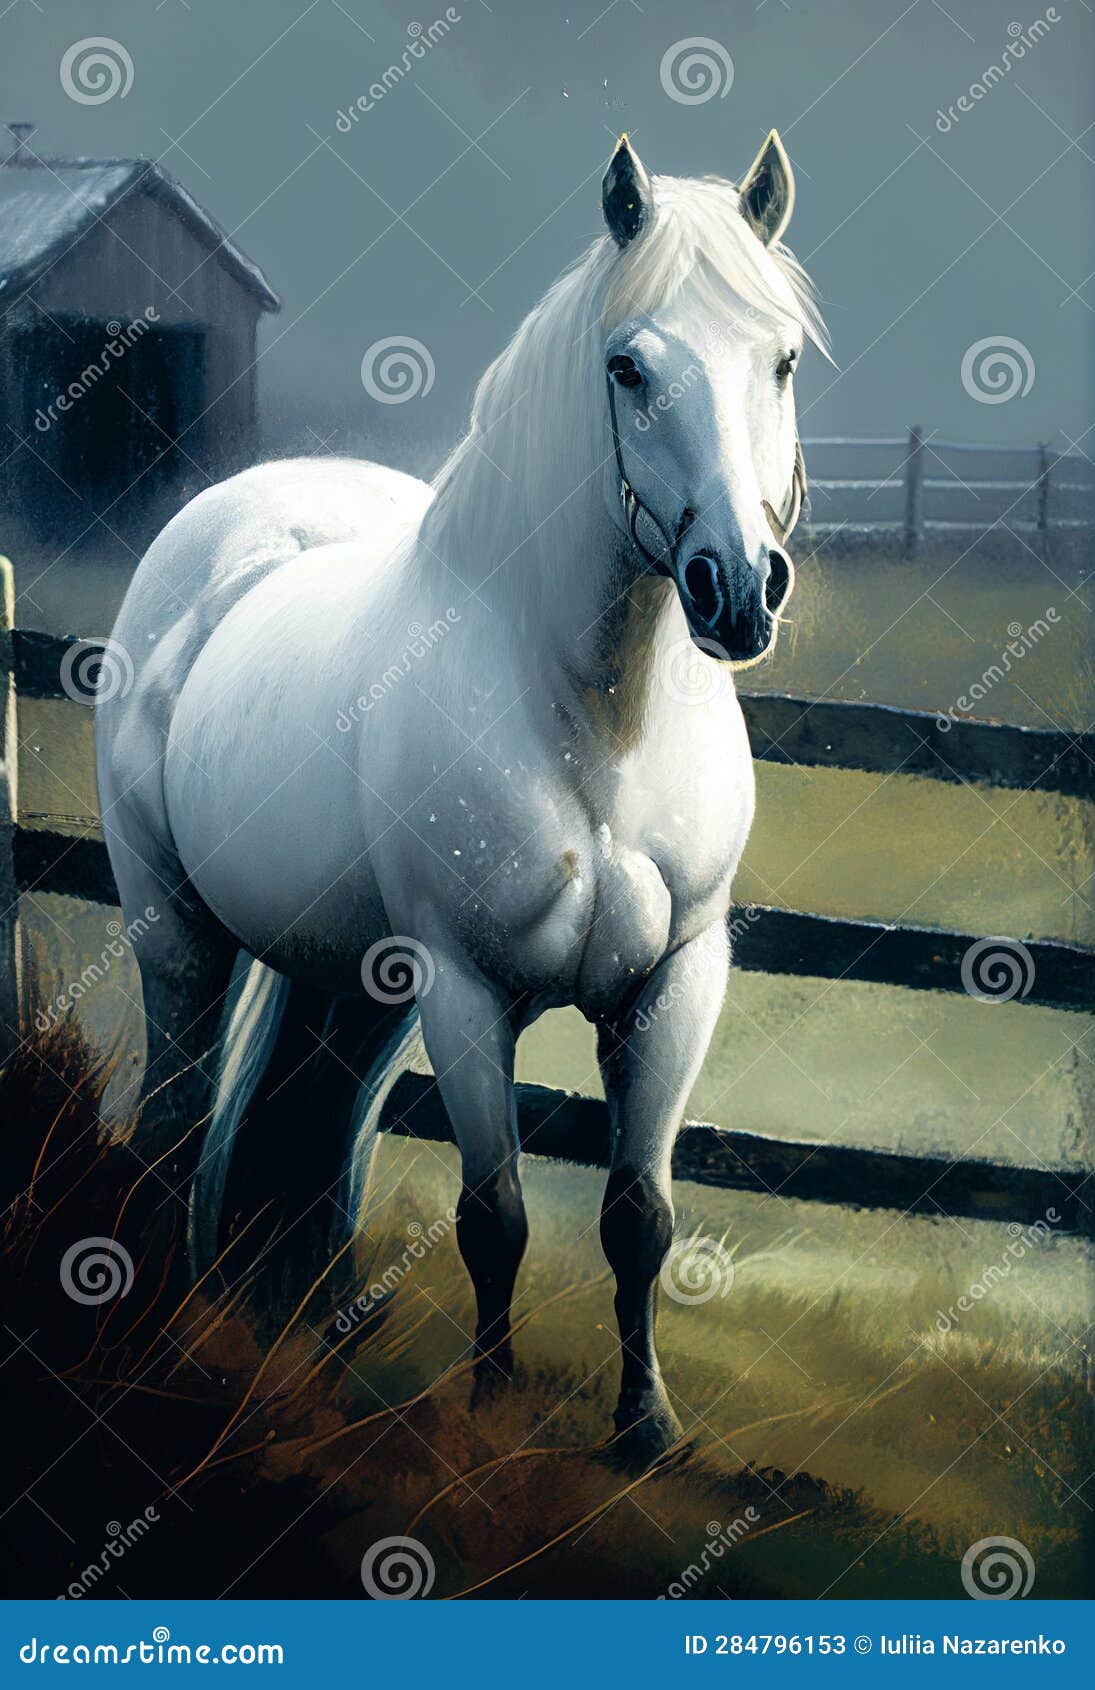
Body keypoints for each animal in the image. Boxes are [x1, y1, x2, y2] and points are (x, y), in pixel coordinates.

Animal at [96, 131, 823, 1460]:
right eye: (627, 367)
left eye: (782, 357)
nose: (738, 589)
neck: (598, 724)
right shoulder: (470, 988)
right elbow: (497, 1217)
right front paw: (488, 1416)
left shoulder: (677, 979)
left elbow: (638, 1215)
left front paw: (645, 1425)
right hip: (183, 936)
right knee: (174, 1120)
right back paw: (167, 1319)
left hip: (361, 990)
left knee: (319, 1139)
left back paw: (303, 1332)